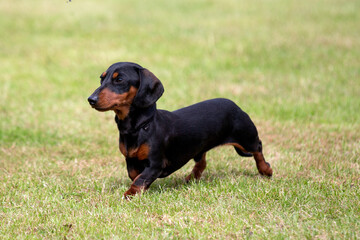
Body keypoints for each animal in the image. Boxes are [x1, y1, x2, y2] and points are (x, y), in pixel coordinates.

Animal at [88, 62, 272, 199]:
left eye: (119, 80)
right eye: (101, 79)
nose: (91, 99)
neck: (140, 126)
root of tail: (235, 105)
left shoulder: (156, 164)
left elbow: (140, 180)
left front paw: (130, 194)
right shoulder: (130, 160)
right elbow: (135, 176)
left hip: (246, 138)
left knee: (258, 148)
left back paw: (266, 169)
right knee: (202, 161)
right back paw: (193, 177)